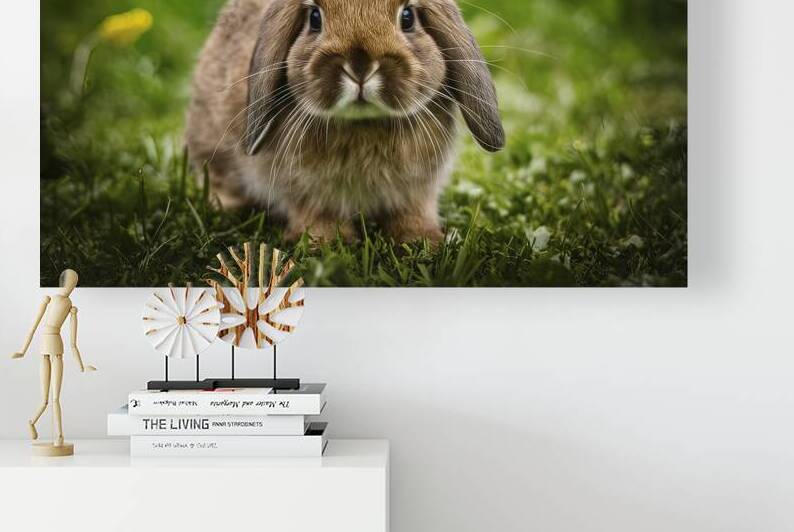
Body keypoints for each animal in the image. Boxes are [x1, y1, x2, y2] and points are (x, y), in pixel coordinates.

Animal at [186, 0, 504, 242]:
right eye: (314, 18)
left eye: (408, 17)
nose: (360, 65)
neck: (363, 125)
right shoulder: (306, 192)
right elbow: (317, 215)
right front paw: (323, 244)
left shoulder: (417, 190)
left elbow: (413, 212)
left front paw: (424, 242)